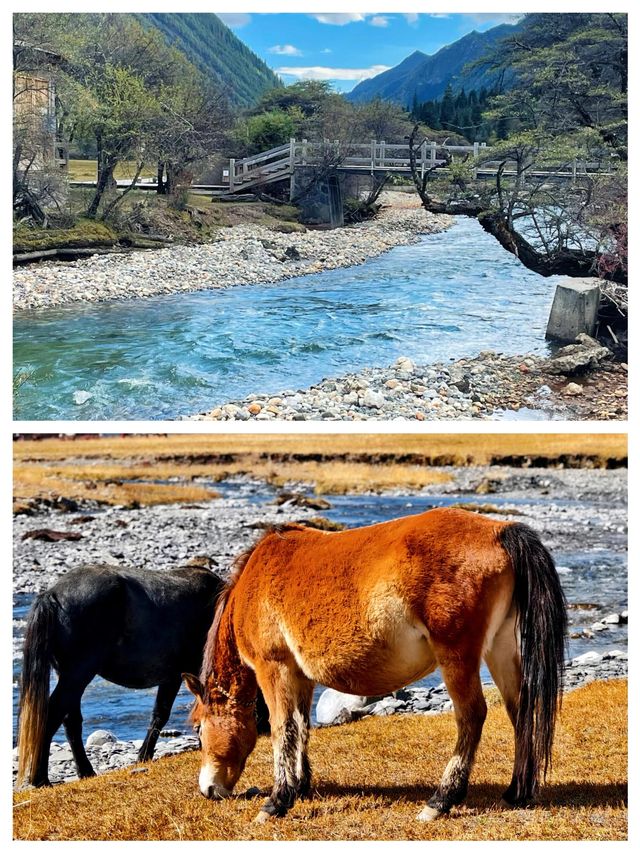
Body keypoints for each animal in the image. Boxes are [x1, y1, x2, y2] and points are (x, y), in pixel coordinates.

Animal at [16, 564, 268, 788]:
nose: (265, 729)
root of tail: (52, 594)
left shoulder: (174, 677)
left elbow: (161, 713)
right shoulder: (181, 675)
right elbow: (166, 713)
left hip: (71, 677)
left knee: (70, 720)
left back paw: (85, 771)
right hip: (77, 675)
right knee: (52, 716)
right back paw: (40, 778)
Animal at [184, 510, 564, 824]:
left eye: (200, 730)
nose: (208, 789)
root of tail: (499, 530)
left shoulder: (273, 668)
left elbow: (282, 729)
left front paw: (277, 802)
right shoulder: (300, 675)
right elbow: (302, 726)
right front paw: (301, 785)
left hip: (457, 657)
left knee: (471, 716)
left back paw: (440, 801)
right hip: (500, 648)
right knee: (520, 709)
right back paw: (517, 791)